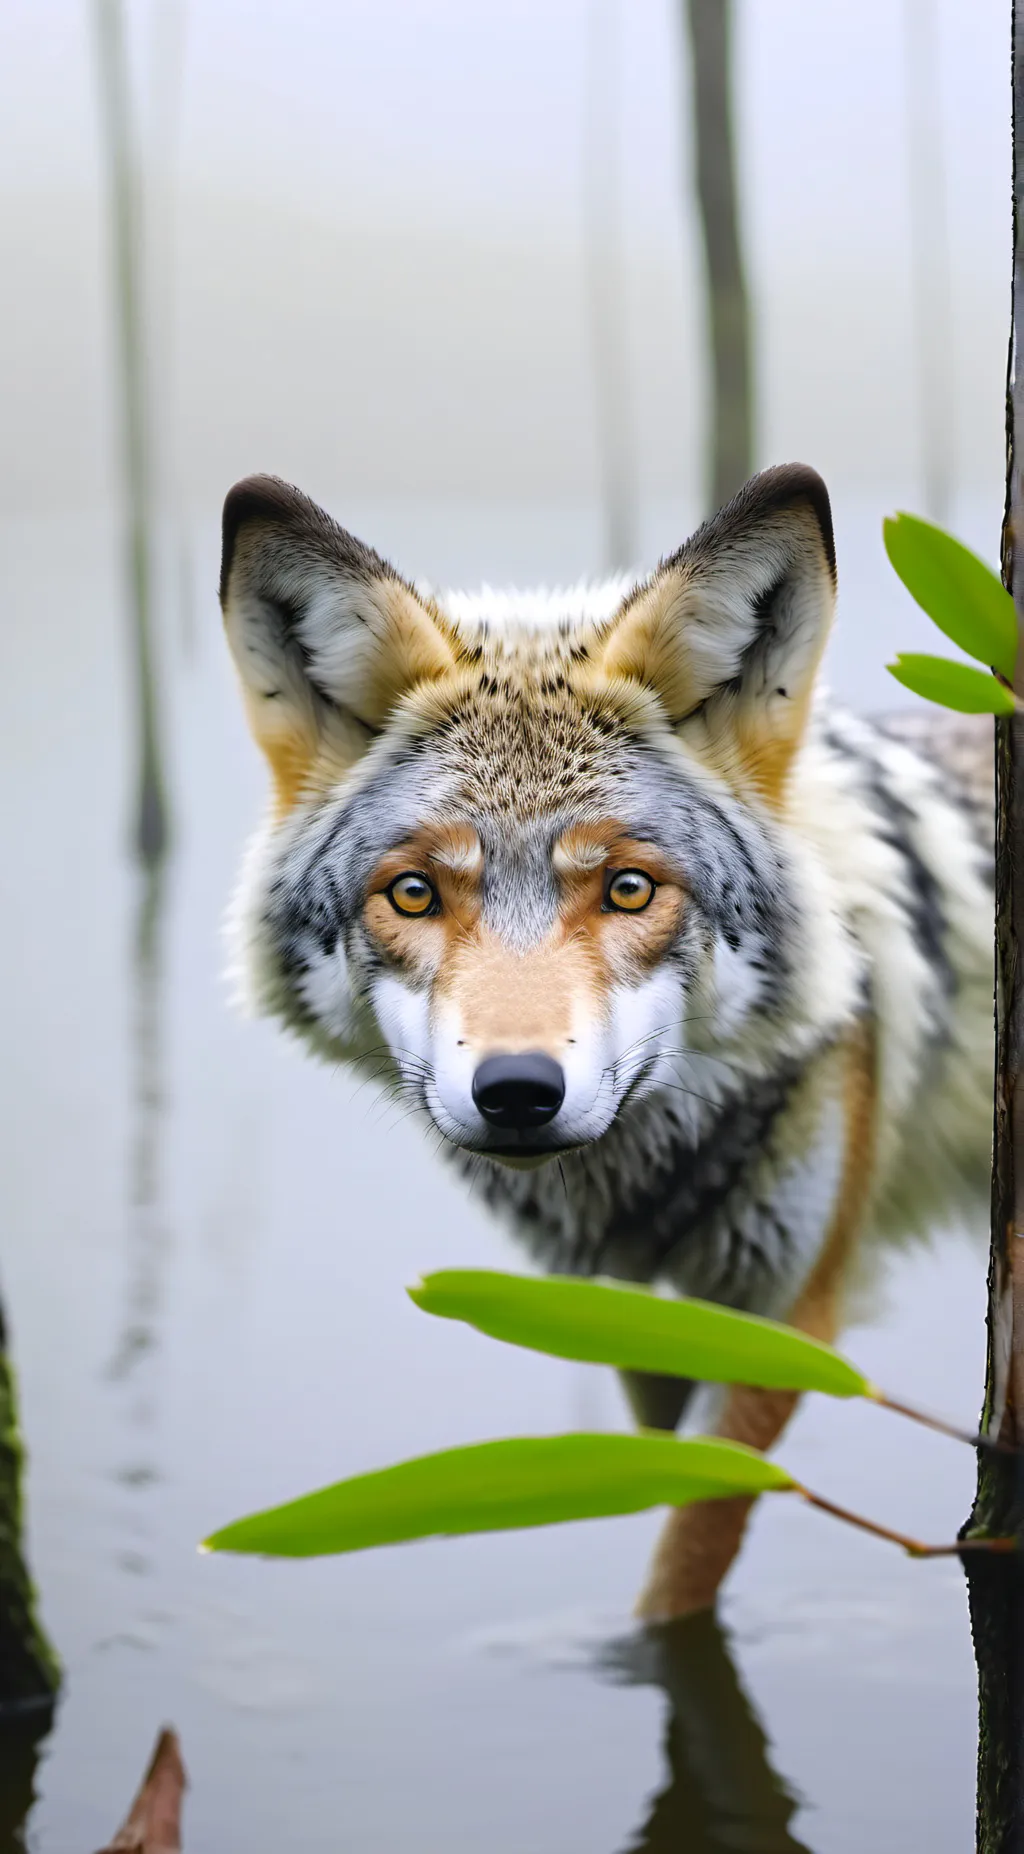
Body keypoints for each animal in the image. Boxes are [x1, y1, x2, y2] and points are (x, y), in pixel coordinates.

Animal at [219, 463, 993, 1618]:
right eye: (414, 893)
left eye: (629, 888)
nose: (516, 1091)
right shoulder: (630, 1320)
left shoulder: (782, 1326)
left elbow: (680, 1566)